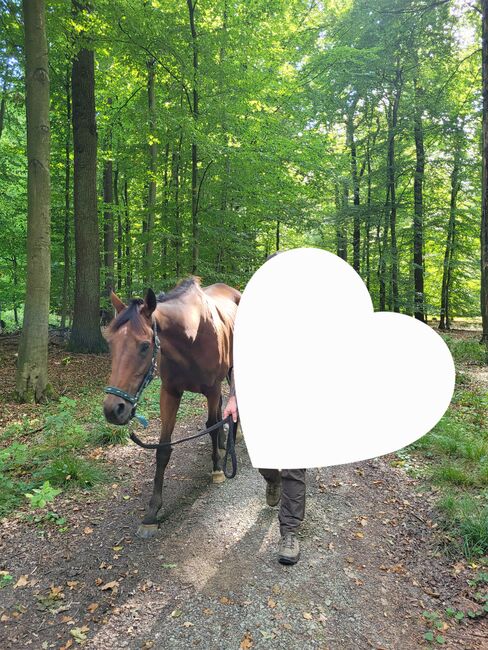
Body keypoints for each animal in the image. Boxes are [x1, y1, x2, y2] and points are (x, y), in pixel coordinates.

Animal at [103, 277, 241, 539]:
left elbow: (211, 425)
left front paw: (218, 469)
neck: (192, 335)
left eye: (144, 346)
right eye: (110, 344)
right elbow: (163, 449)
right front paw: (152, 512)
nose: (114, 410)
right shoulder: (169, 393)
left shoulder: (212, 388)